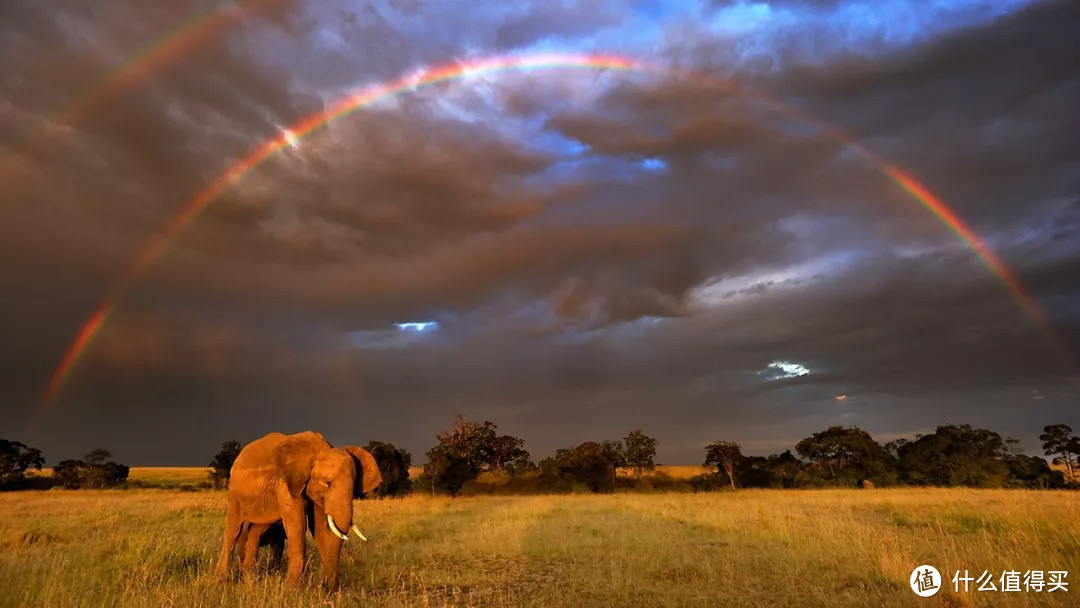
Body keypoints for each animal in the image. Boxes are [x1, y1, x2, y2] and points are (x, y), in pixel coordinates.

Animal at [216, 429, 384, 587]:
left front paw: (328, 590)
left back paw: (249, 579)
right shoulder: (285, 485)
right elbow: (297, 525)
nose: (325, 585)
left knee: (255, 531)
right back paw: (223, 579)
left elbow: (319, 528)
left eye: (354, 487)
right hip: (234, 491)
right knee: (234, 529)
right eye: (327, 483)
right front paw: (291, 588)